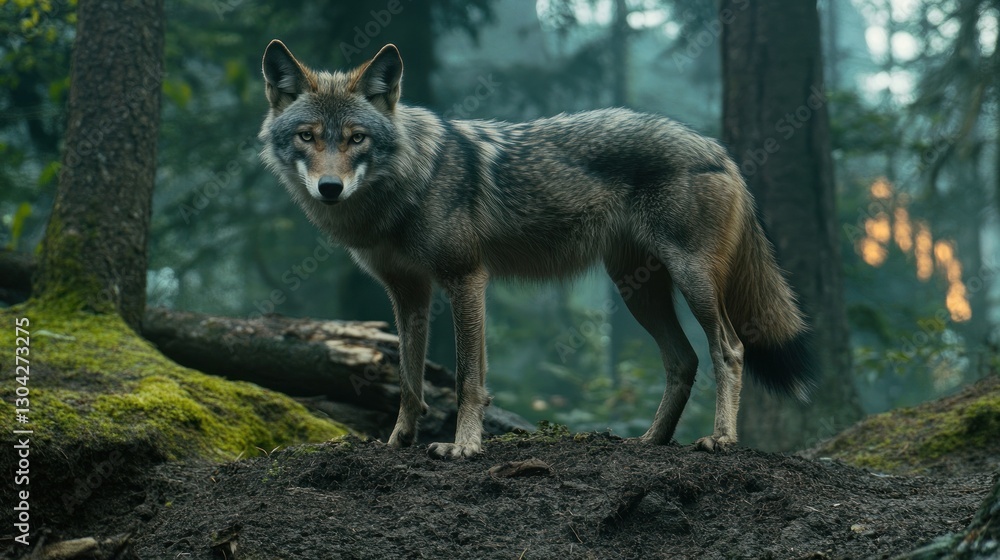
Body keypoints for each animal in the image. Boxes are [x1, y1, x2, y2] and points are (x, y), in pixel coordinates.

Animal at [258, 40, 814, 459]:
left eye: (356, 139)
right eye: (308, 136)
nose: (330, 188)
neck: (409, 184)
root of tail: (719, 150)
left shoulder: (465, 278)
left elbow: (466, 379)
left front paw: (463, 448)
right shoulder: (408, 294)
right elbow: (409, 382)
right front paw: (399, 441)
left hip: (691, 282)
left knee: (729, 350)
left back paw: (720, 439)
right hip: (637, 291)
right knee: (683, 361)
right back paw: (650, 441)